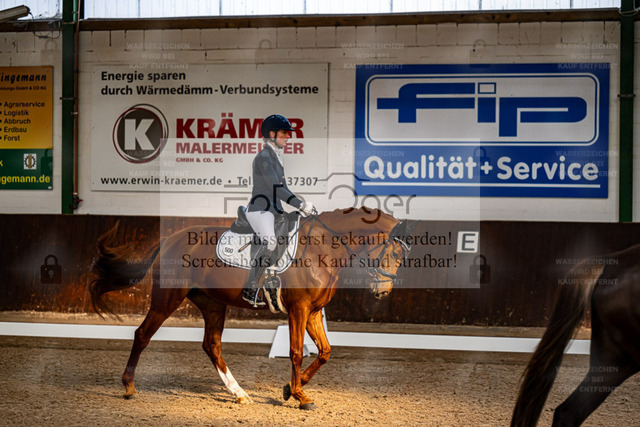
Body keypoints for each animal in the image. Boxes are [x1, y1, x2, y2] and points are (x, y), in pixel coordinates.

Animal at [90, 207, 416, 410]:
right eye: (392, 252)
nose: (382, 292)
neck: (322, 248)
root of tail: (170, 238)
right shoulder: (299, 309)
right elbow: (296, 352)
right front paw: (300, 396)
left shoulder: (312, 312)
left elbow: (324, 352)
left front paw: (289, 389)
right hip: (167, 298)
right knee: (143, 335)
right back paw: (129, 387)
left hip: (212, 303)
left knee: (212, 345)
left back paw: (240, 394)